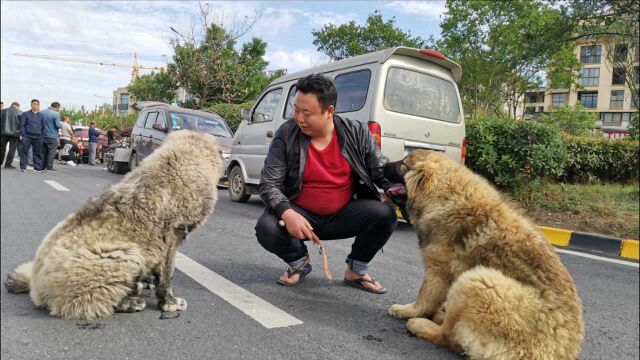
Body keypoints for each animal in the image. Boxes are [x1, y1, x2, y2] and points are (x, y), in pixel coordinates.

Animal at [5, 131, 224, 320]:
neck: (180, 161)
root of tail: (36, 286)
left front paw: (151, 285)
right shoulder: (172, 237)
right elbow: (167, 276)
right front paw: (169, 303)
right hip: (127, 256)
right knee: (93, 302)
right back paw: (131, 302)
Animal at [388, 150, 584, 360]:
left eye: (403, 165)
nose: (382, 164)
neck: (447, 197)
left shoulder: (437, 272)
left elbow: (424, 298)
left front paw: (408, 311)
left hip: (477, 281)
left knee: (449, 336)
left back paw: (421, 324)